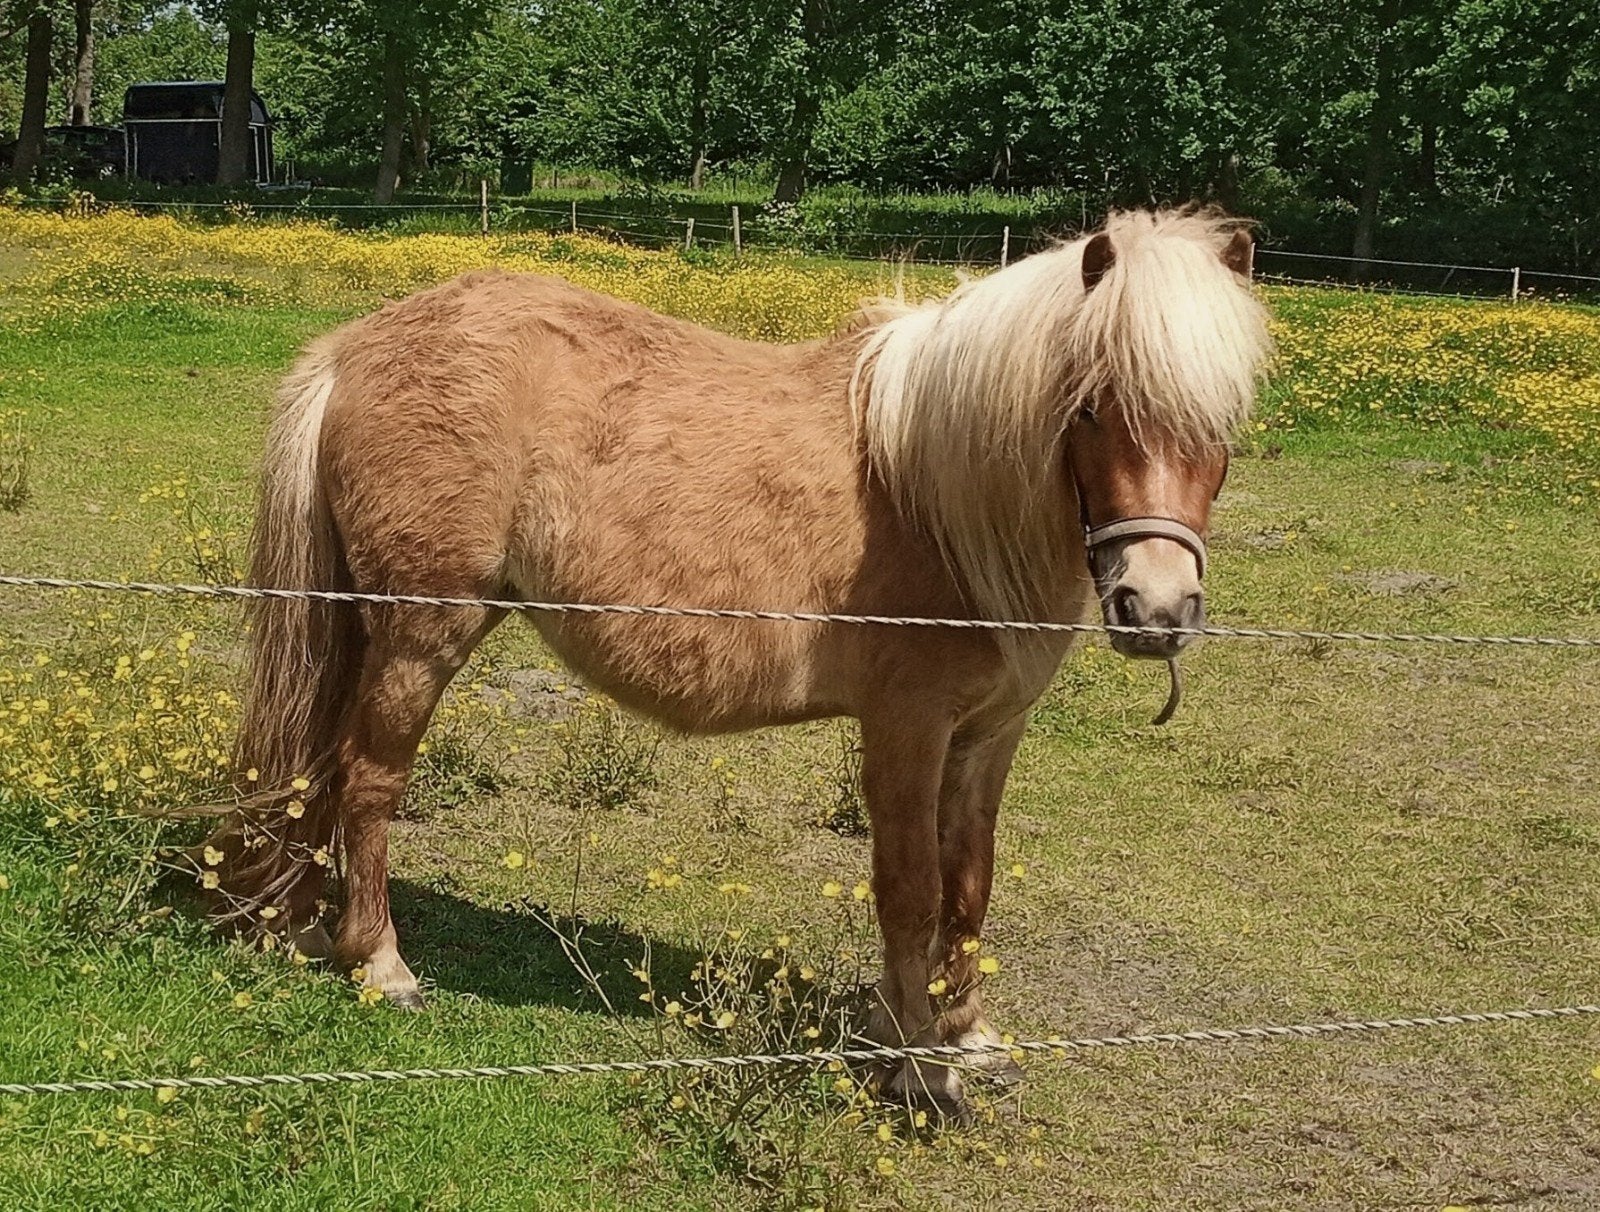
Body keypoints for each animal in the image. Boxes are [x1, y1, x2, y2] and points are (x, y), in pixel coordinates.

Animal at [209, 208, 1271, 1112]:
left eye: (1227, 419)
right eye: (1091, 407)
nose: (1157, 608)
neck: (932, 489)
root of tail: (355, 347)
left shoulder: (987, 736)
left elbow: (969, 883)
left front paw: (966, 1036)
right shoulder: (906, 728)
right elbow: (910, 888)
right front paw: (915, 1067)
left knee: (318, 768)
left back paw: (300, 924)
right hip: (422, 634)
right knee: (368, 778)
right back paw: (380, 963)